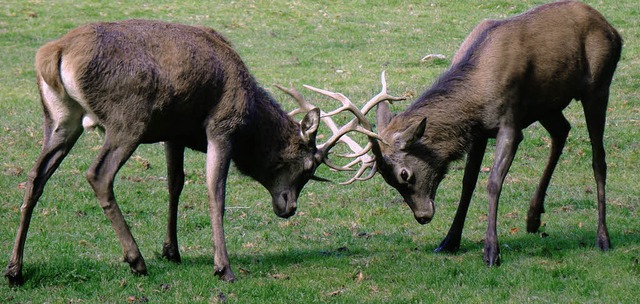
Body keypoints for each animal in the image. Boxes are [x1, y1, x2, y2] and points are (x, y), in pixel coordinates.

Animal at [3, 19, 384, 284]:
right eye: (307, 166)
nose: (288, 207)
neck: (251, 119)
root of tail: (55, 54)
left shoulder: (174, 133)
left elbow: (175, 184)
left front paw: (172, 250)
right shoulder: (221, 126)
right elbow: (216, 192)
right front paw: (223, 267)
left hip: (59, 119)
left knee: (36, 177)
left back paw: (15, 269)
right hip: (128, 119)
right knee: (98, 174)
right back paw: (135, 260)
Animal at [294, 0, 620, 266]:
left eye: (404, 174)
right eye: (388, 180)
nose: (422, 216)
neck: (475, 95)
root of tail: (613, 30)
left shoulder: (510, 123)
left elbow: (493, 182)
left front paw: (491, 251)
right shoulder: (478, 132)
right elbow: (468, 183)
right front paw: (449, 241)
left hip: (597, 87)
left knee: (599, 158)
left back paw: (602, 238)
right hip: (547, 104)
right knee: (562, 130)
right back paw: (533, 217)